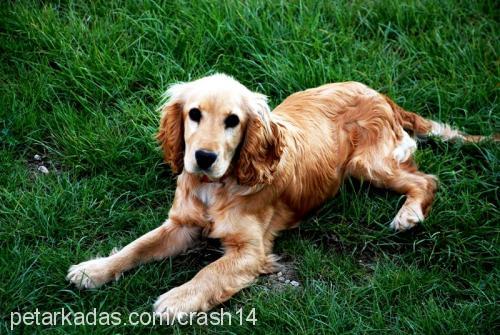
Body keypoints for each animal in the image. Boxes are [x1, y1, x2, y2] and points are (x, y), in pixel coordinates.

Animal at [67, 73, 492, 320]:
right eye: (193, 114)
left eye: (233, 121)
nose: (203, 157)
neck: (216, 187)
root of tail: (380, 95)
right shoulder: (181, 225)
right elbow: (136, 247)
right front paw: (93, 269)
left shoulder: (250, 250)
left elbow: (209, 273)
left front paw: (176, 300)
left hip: (368, 163)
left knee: (426, 180)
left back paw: (408, 215)